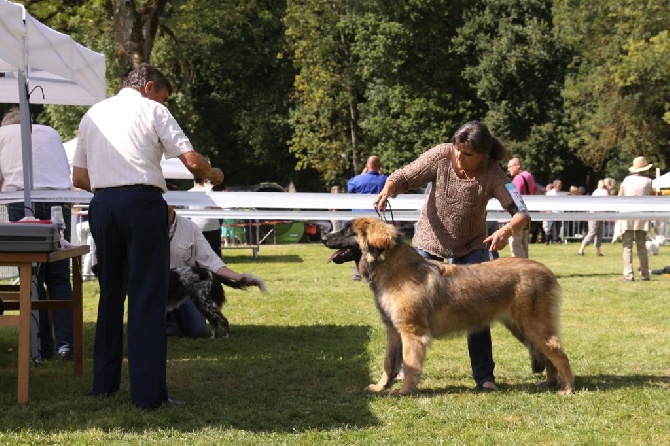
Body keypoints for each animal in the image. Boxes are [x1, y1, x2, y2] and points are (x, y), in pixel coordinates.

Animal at [322, 218, 576, 396]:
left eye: (347, 231)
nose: (324, 237)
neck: (392, 267)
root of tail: (546, 271)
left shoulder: (412, 333)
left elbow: (409, 365)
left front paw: (404, 391)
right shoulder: (393, 331)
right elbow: (389, 363)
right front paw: (380, 387)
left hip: (534, 326)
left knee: (560, 355)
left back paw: (567, 389)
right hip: (522, 329)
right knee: (548, 356)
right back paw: (549, 383)